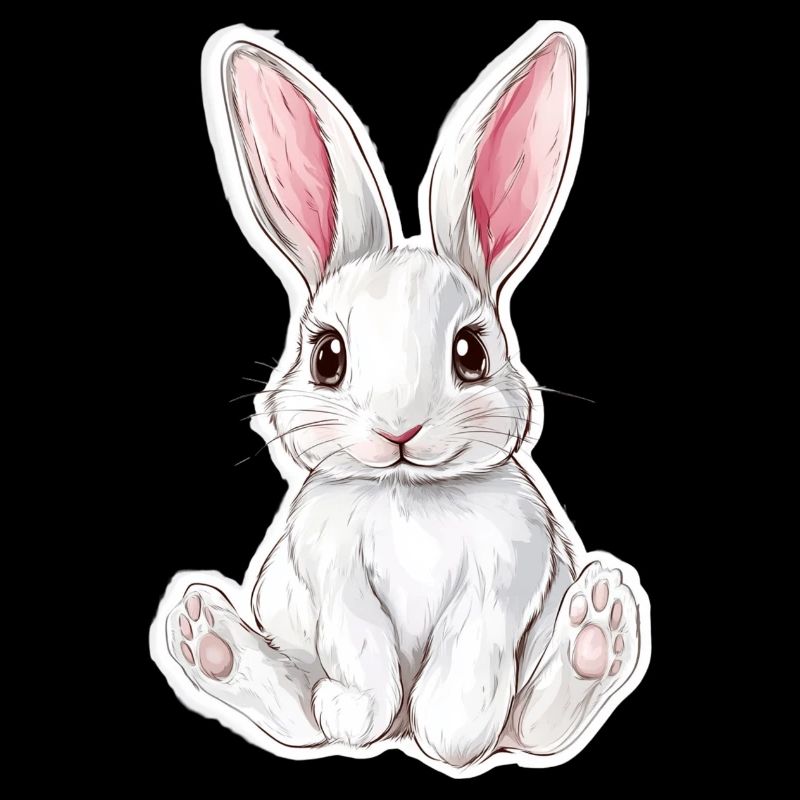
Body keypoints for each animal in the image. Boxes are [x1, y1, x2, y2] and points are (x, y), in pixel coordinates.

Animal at [150, 20, 651, 777]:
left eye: (471, 353)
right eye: (327, 357)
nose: (399, 431)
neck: (409, 496)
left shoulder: (506, 574)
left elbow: (471, 650)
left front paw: (453, 734)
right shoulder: (331, 574)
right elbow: (360, 649)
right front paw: (357, 717)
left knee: (535, 729)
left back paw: (598, 634)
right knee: (298, 721)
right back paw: (208, 640)